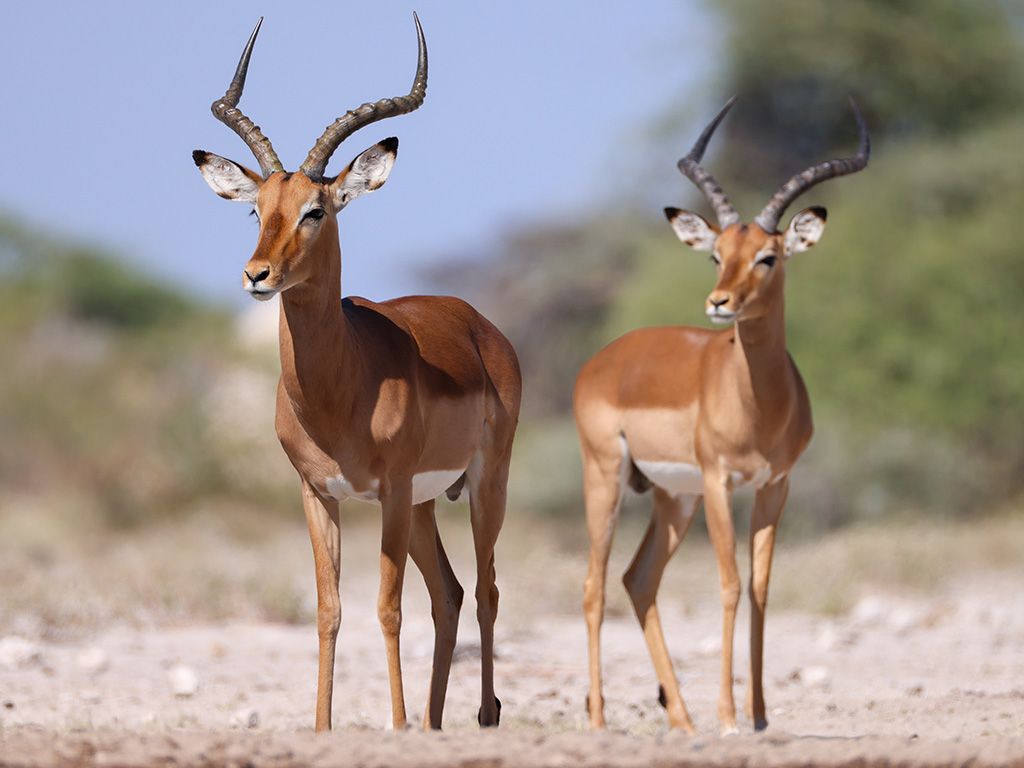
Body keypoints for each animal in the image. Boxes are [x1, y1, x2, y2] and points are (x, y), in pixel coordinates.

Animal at [191, 15, 520, 732]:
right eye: (255, 208)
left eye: (317, 209)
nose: (257, 275)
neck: (341, 390)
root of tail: (479, 324)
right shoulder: (319, 495)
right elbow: (329, 611)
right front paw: (325, 726)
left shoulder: (390, 491)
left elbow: (388, 609)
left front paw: (393, 723)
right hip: (425, 504)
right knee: (451, 593)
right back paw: (432, 722)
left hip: (483, 484)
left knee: (485, 588)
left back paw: (483, 714)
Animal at [575, 97, 869, 734]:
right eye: (716, 255)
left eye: (767, 256)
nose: (719, 303)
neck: (758, 405)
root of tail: (605, 358)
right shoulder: (718, 482)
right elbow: (730, 585)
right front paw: (731, 717)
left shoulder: (774, 485)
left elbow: (760, 588)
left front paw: (758, 716)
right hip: (608, 478)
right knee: (594, 585)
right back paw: (602, 721)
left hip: (671, 498)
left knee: (639, 580)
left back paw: (682, 721)